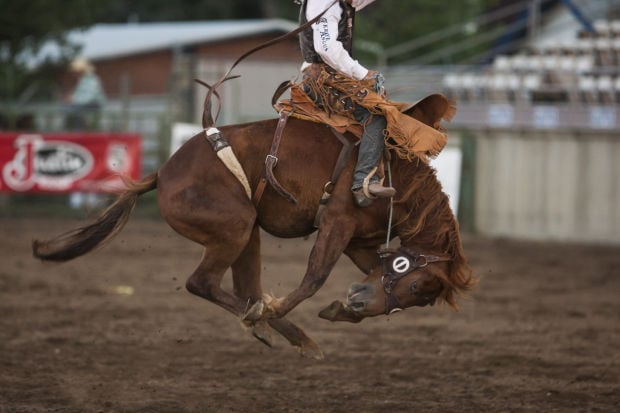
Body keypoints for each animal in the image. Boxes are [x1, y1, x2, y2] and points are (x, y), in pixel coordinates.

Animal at [32, 94, 474, 358]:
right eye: (417, 287)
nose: (360, 301)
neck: (398, 175)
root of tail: (164, 172)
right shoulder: (338, 221)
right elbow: (314, 276)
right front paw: (306, 306)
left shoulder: (359, 240)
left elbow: (369, 273)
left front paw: (343, 309)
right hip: (238, 226)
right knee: (204, 283)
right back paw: (266, 320)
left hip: (248, 232)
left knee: (244, 289)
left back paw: (282, 330)